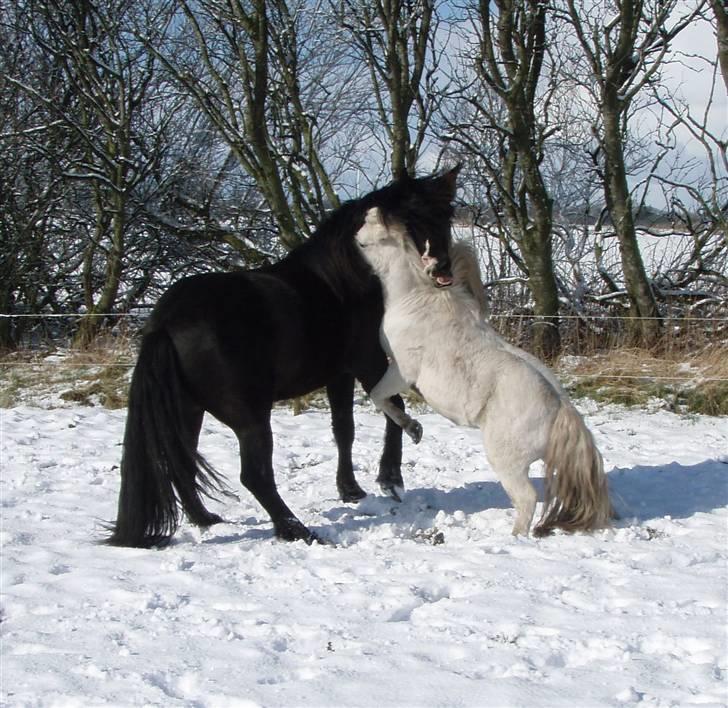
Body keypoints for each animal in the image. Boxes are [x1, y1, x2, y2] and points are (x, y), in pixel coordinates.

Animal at [106, 167, 460, 548]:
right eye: (409, 220)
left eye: (446, 214)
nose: (441, 269)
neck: (343, 281)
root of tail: (166, 321)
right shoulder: (367, 363)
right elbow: (395, 408)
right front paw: (391, 477)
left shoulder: (339, 374)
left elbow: (344, 430)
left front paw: (351, 489)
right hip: (250, 416)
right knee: (254, 476)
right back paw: (297, 530)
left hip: (189, 408)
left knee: (181, 461)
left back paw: (207, 519)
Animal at [356, 210, 612, 536]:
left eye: (367, 231)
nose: (363, 219)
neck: (414, 300)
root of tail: (560, 409)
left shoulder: (401, 372)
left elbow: (378, 397)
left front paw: (413, 428)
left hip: (507, 463)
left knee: (527, 499)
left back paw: (515, 538)